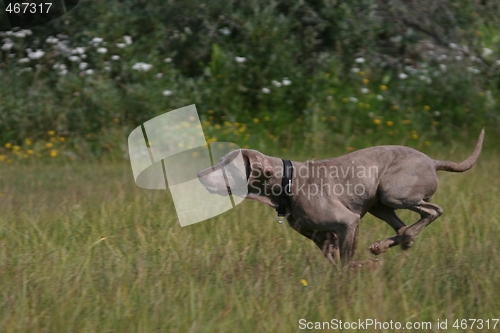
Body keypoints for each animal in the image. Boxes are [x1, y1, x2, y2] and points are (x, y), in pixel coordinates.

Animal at [198, 128, 484, 266]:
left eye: (226, 165)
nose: (199, 174)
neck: (288, 183)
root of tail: (432, 161)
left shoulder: (347, 222)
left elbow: (345, 264)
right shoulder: (324, 238)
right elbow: (333, 260)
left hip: (394, 193)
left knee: (433, 211)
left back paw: (405, 240)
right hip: (380, 204)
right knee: (403, 227)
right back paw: (389, 244)